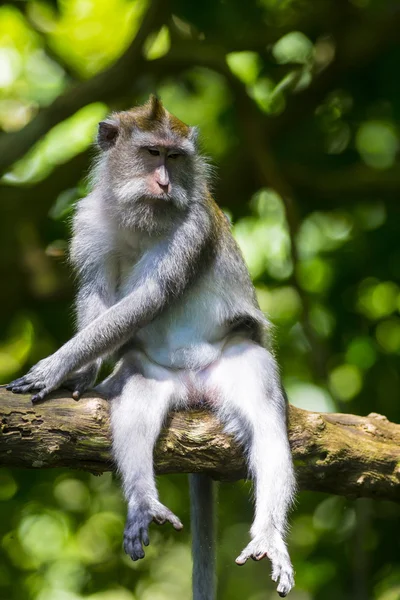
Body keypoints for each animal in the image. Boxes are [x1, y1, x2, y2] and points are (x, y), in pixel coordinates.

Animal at [5, 96, 294, 596]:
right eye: (151, 153)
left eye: (175, 157)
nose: (164, 183)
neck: (138, 217)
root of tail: (196, 388)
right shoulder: (90, 219)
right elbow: (97, 290)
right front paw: (80, 373)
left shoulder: (193, 226)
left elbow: (151, 297)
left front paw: (54, 366)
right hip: (155, 374)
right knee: (136, 400)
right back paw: (142, 502)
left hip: (240, 360)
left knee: (264, 421)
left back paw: (268, 535)